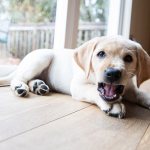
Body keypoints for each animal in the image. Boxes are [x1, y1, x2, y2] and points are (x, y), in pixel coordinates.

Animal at [0, 36, 150, 118]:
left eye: (128, 58)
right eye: (101, 54)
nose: (112, 73)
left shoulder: (129, 88)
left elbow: (139, 94)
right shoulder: (78, 86)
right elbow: (92, 90)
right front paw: (113, 105)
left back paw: (38, 85)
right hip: (42, 57)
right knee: (17, 78)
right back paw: (20, 86)